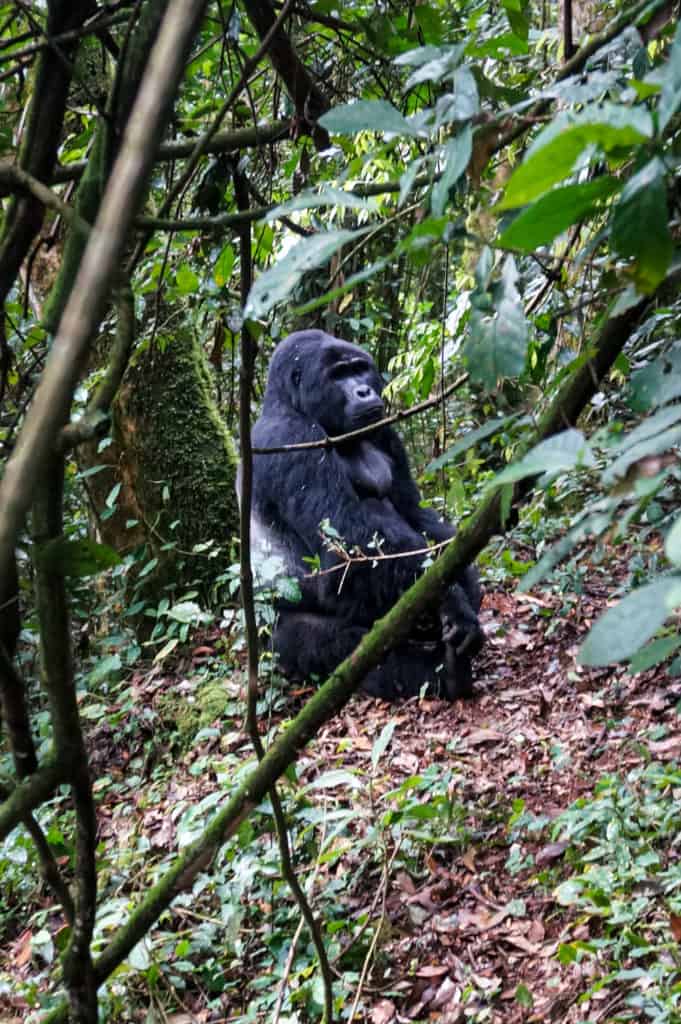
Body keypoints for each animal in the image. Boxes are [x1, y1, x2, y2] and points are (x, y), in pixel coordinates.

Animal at [250, 331, 483, 700]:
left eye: (360, 369)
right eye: (338, 375)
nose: (365, 391)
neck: (287, 403)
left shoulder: (384, 431)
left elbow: (415, 514)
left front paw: (456, 574)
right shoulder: (290, 437)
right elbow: (348, 546)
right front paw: (449, 598)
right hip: (272, 641)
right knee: (338, 648)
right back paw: (446, 674)